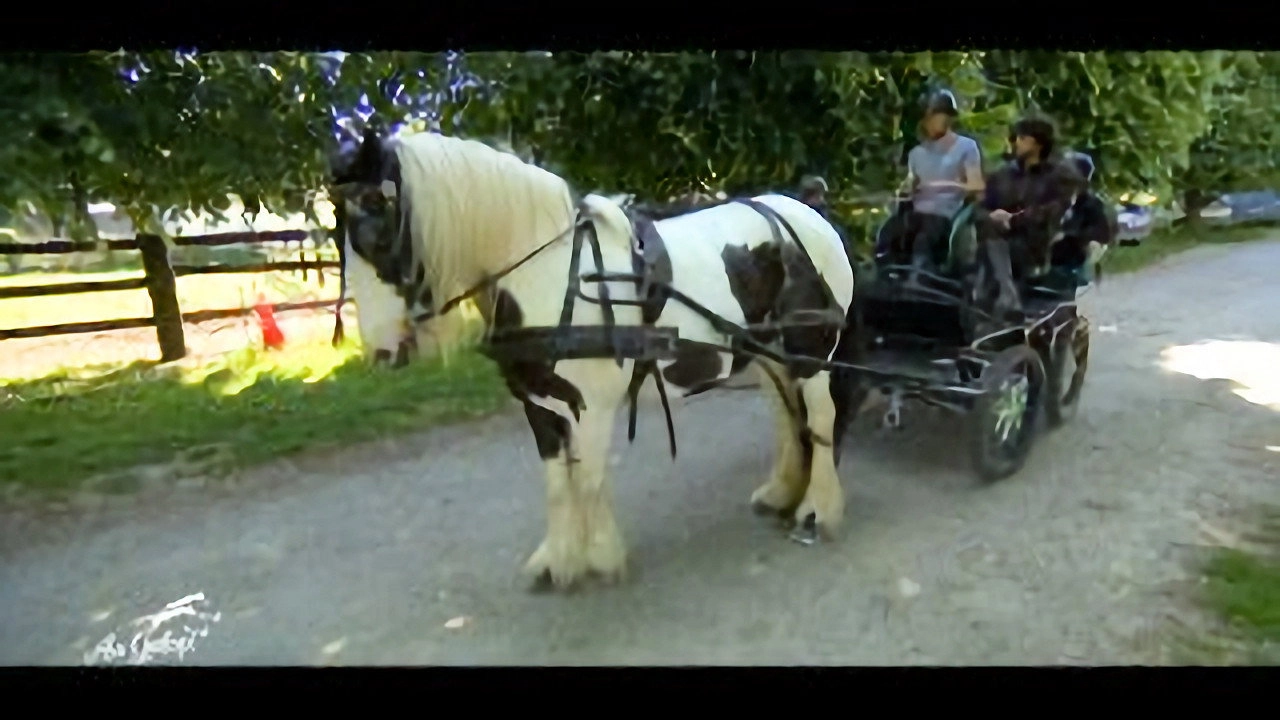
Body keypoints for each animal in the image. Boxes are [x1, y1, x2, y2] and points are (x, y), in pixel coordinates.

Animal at [329, 128, 865, 591]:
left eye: (375, 216)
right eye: (336, 234)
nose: (381, 350)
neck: (548, 274)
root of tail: (808, 211)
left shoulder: (593, 405)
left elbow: (587, 479)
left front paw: (602, 556)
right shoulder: (539, 405)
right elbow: (559, 480)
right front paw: (559, 559)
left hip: (811, 351)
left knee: (819, 416)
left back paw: (817, 508)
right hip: (765, 353)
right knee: (784, 414)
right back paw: (782, 492)